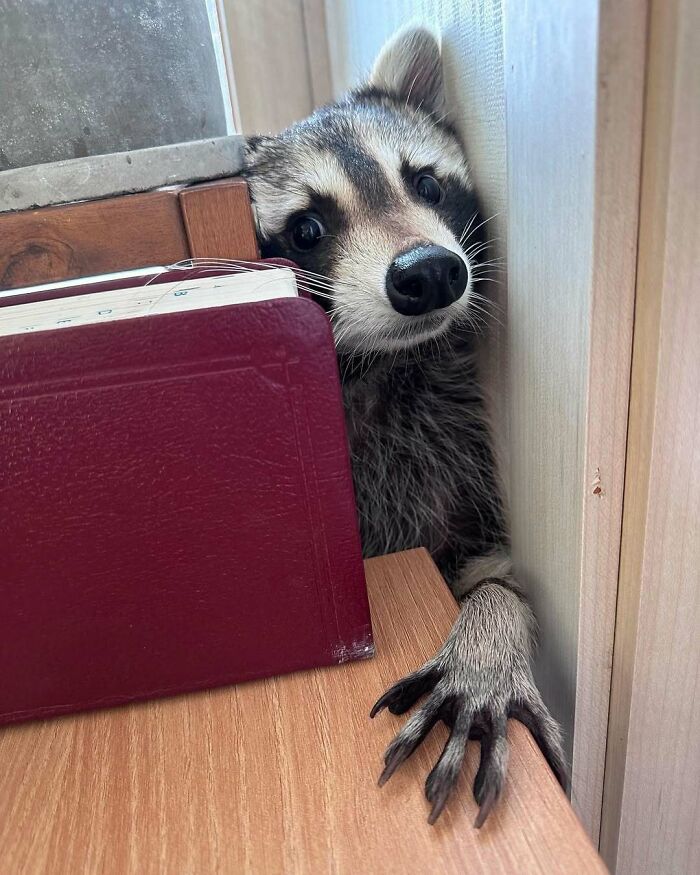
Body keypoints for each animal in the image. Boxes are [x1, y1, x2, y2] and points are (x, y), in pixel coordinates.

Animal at [242, 26, 565, 826]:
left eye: (425, 183)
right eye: (307, 227)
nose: (428, 271)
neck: (382, 366)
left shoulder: (458, 450)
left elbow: (495, 571)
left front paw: (490, 628)